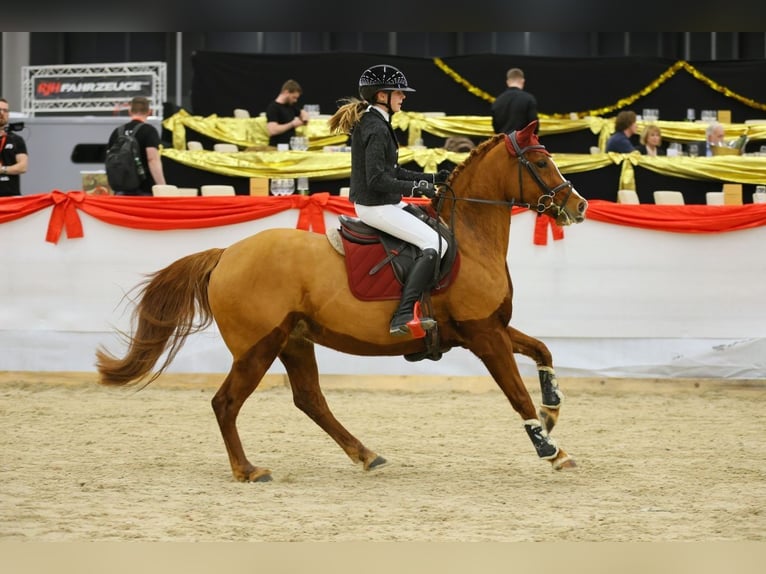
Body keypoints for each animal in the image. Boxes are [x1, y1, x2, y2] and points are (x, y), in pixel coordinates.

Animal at [95, 122, 588, 482]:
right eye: (541, 161)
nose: (579, 206)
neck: (468, 241)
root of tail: (226, 254)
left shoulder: (492, 327)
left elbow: (542, 349)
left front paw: (552, 408)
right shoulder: (484, 334)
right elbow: (516, 394)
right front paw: (551, 449)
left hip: (293, 341)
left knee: (310, 399)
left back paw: (365, 454)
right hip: (258, 347)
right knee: (226, 403)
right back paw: (248, 470)